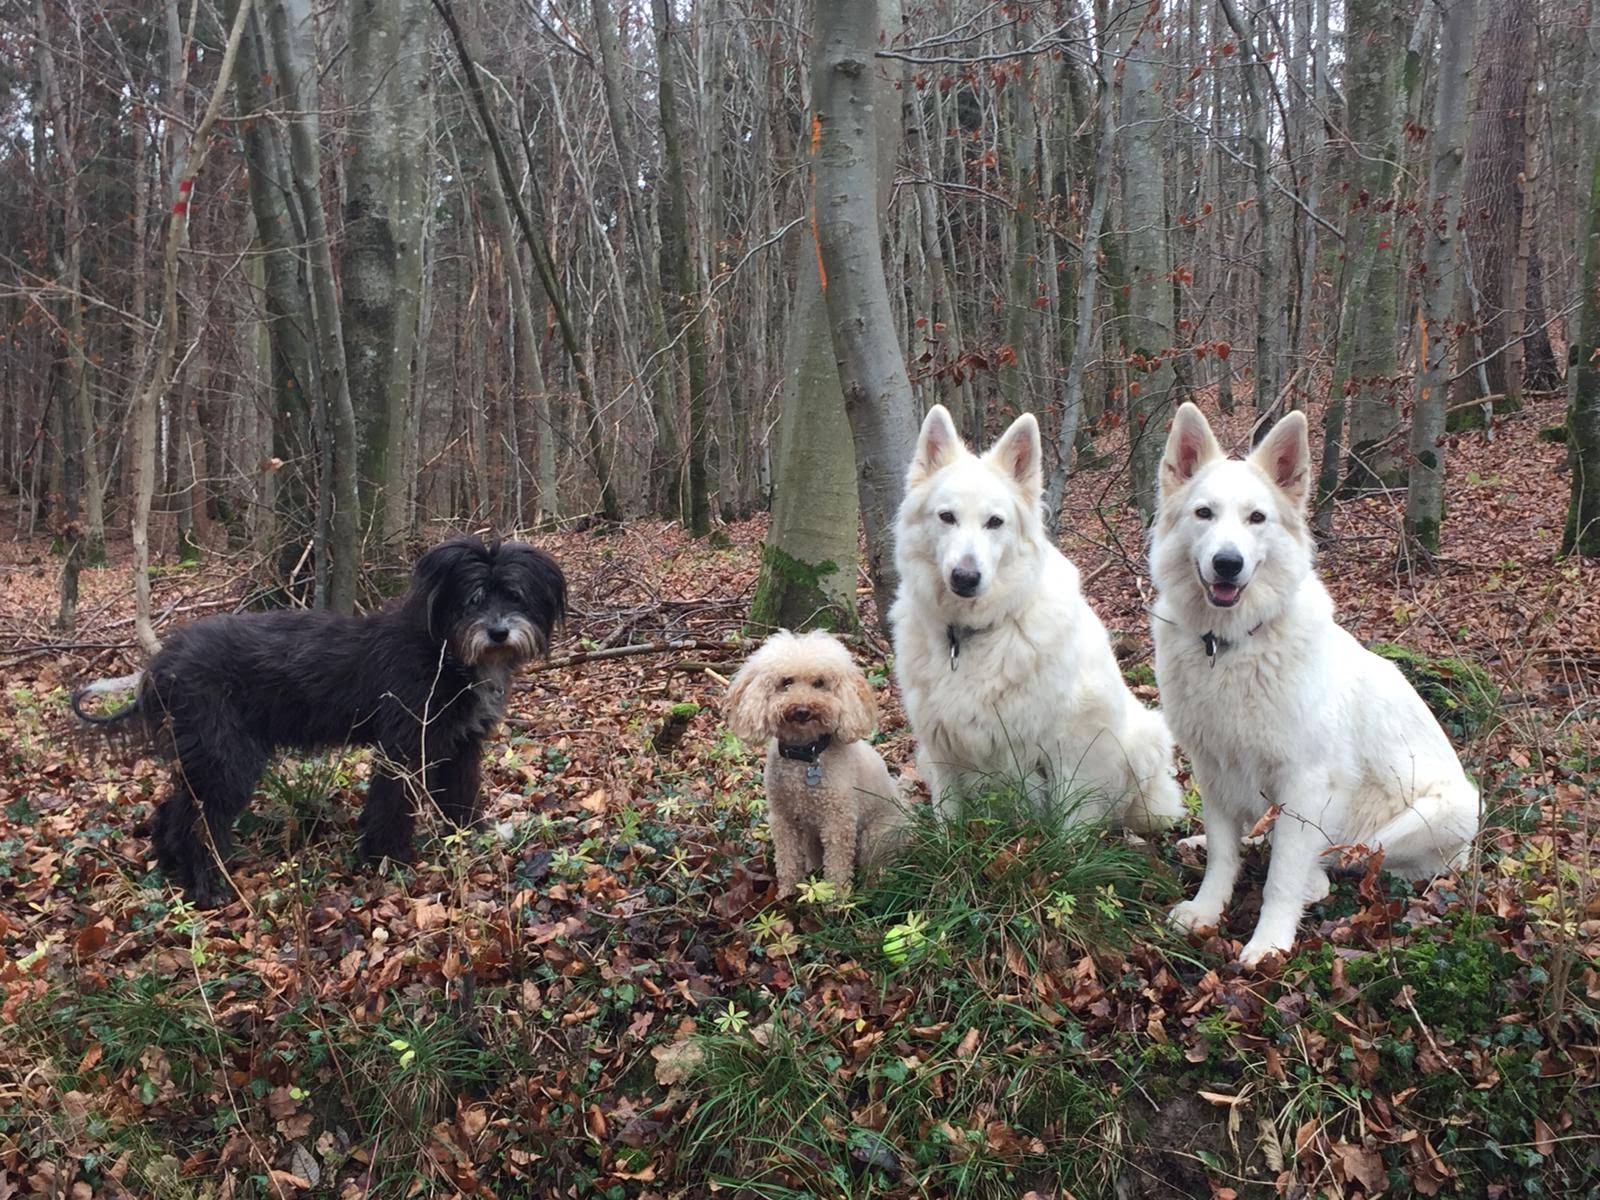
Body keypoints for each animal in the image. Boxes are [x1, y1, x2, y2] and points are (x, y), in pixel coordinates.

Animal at [72, 540, 566, 908]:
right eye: (473, 599)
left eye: (515, 595)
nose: (498, 632)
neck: (442, 648)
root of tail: (158, 666)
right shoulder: (404, 746)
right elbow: (391, 805)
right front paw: (388, 859)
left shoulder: (461, 746)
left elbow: (461, 798)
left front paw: (471, 839)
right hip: (228, 758)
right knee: (200, 823)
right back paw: (209, 888)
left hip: (204, 756)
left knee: (174, 810)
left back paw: (173, 867)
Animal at [896, 406, 1184, 838]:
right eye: (946, 517)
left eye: (994, 522)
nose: (965, 578)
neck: (973, 634)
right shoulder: (940, 743)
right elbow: (948, 815)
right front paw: (947, 848)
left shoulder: (1071, 737)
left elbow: (1069, 820)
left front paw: (1066, 852)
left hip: (1146, 738)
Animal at [1152, 404, 1472, 966]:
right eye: (1204, 513)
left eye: (1257, 518)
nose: (1228, 564)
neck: (1234, 646)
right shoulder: (1214, 769)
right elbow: (1222, 853)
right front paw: (1207, 908)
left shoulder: (1305, 781)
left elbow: (1282, 876)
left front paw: (1269, 942)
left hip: (1441, 813)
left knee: (1330, 865)